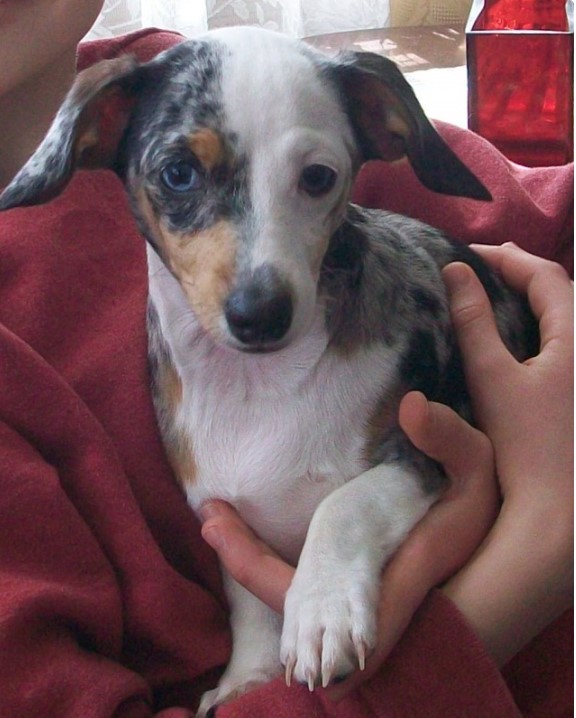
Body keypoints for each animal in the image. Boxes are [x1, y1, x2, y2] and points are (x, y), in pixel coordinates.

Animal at [2, 25, 536, 716]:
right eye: (178, 174)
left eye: (318, 177)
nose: (259, 314)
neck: (261, 390)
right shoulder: (225, 515)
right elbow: (248, 603)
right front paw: (246, 677)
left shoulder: (427, 452)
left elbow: (342, 502)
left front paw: (321, 609)